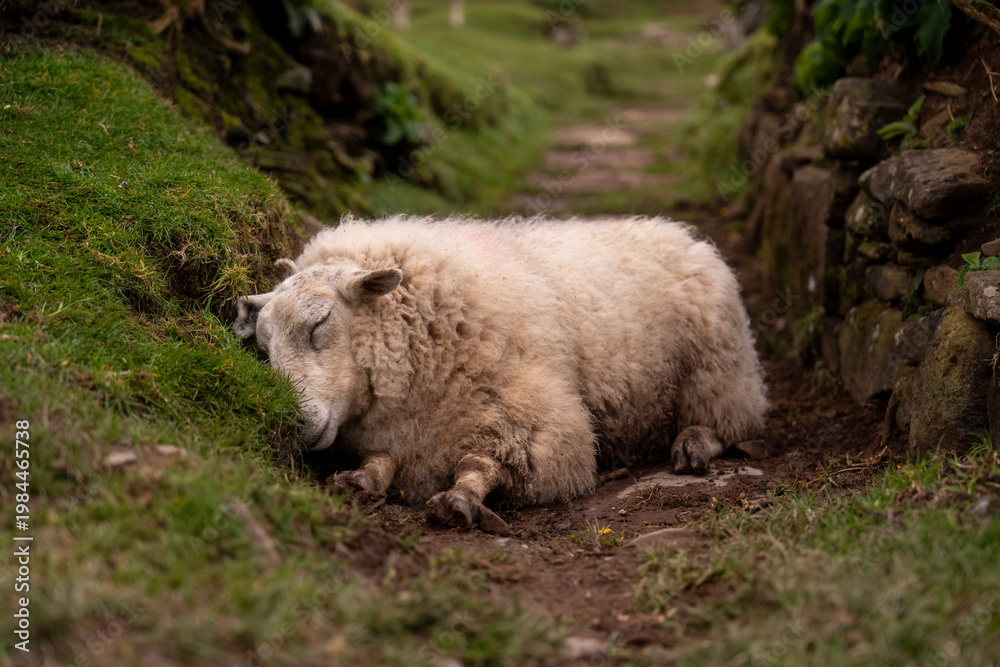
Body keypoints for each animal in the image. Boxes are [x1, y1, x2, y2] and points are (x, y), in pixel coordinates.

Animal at [234, 215, 767, 535]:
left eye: (319, 323)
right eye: (263, 347)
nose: (294, 424)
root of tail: (682, 234)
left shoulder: (537, 419)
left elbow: (485, 464)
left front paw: (460, 501)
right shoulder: (403, 437)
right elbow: (380, 462)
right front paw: (360, 481)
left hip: (718, 366)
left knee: (732, 420)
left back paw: (693, 445)